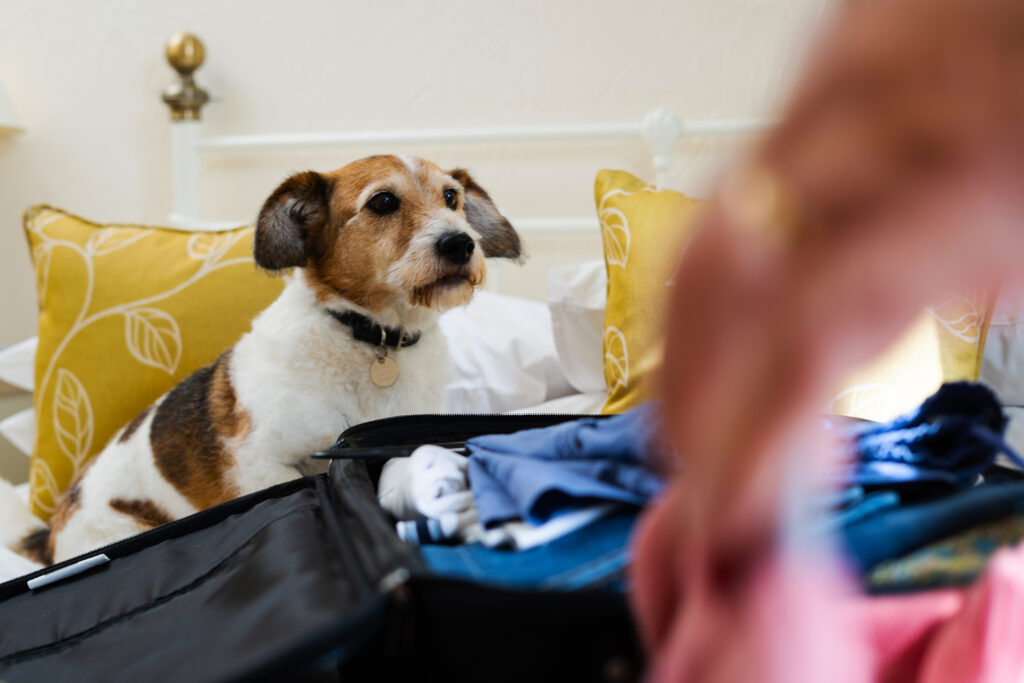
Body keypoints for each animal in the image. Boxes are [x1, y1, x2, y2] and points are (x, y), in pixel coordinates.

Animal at [2, 154, 520, 565]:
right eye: (383, 202)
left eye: (451, 197)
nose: (461, 243)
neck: (375, 341)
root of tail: (53, 530)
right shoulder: (258, 465)